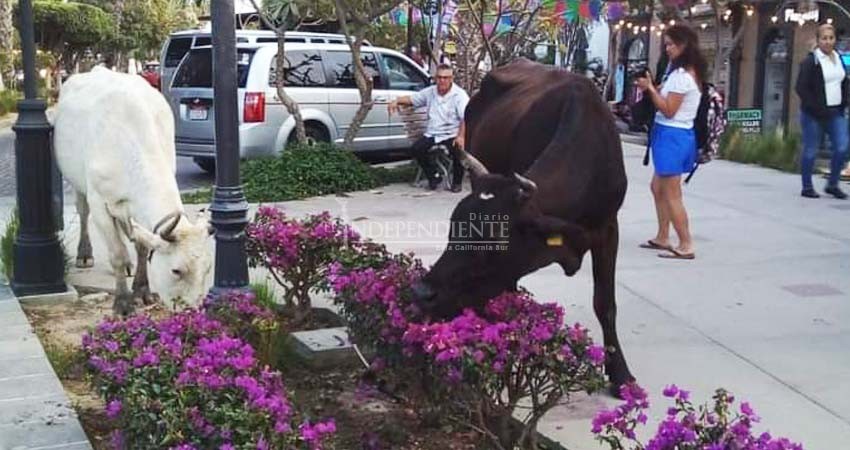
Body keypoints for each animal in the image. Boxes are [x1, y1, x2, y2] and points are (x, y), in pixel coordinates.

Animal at [53, 67, 212, 314]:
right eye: (176, 270)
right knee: (83, 212)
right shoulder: (100, 202)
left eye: (207, 269)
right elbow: (115, 253)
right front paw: (123, 303)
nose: (193, 311)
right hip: (77, 182)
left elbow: (142, 246)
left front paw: (142, 290)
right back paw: (85, 254)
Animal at [414, 59, 632, 394]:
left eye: (492, 244)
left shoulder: (608, 229)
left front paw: (621, 375)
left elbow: (605, 303)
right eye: (454, 230)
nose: (422, 292)